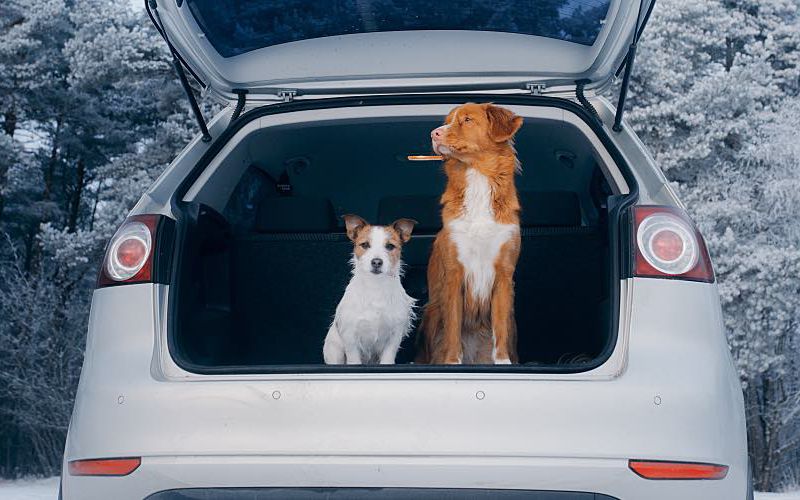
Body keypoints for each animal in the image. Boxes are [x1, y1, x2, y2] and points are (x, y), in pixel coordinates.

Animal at [322, 214, 416, 364]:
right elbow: (354, 360)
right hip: (334, 350)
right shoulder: (350, 338)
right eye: (365, 245)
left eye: (390, 246)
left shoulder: (394, 336)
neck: (375, 286)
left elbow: (388, 359)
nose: (377, 262)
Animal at [418, 103, 524, 366]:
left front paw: (503, 363)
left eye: (467, 120)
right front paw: (452, 363)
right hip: (432, 312)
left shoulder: (504, 274)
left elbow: (500, 329)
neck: (477, 177)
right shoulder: (454, 273)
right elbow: (453, 328)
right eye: (447, 120)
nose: (434, 133)